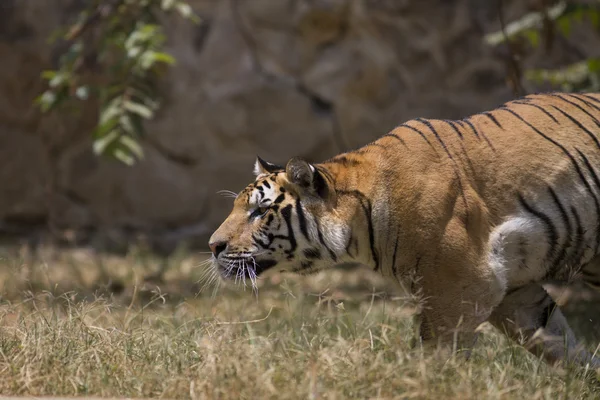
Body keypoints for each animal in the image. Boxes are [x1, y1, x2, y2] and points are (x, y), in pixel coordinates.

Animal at [207, 92, 600, 368]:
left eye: (259, 211)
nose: (213, 246)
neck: (359, 224)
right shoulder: (512, 290)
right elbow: (560, 345)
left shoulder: (461, 287)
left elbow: (435, 357)